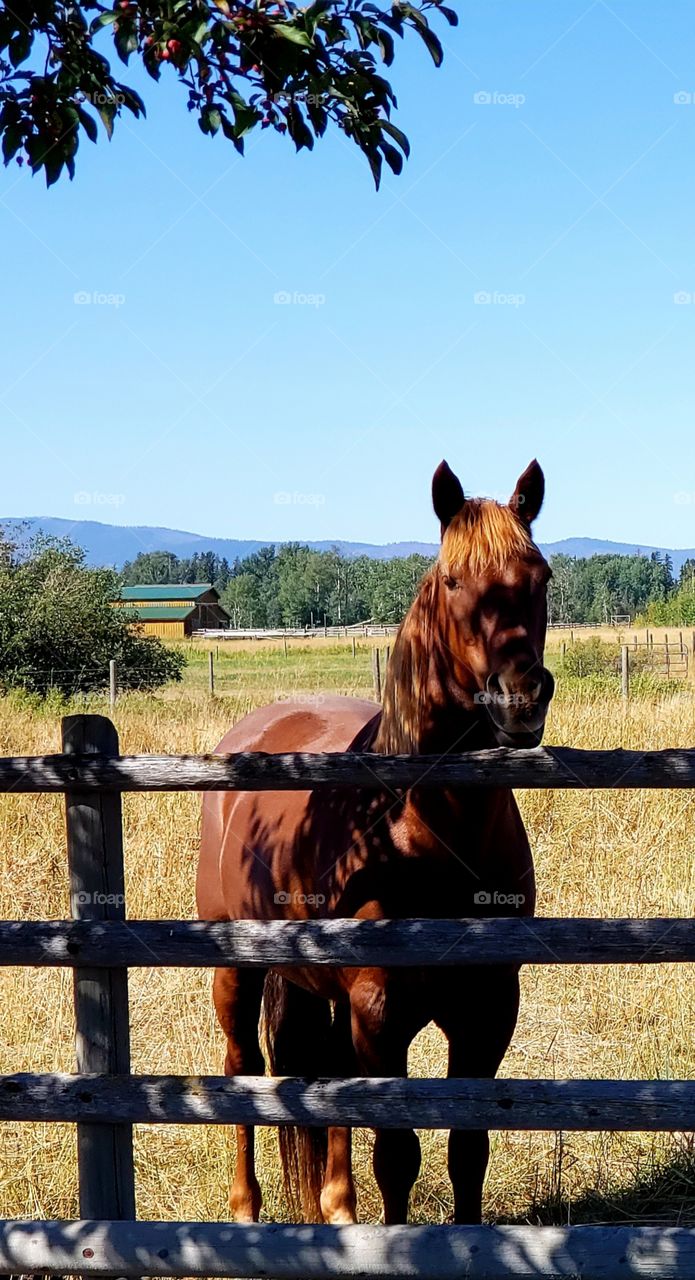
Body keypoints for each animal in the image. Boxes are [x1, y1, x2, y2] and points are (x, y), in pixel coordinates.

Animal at [196, 458, 555, 1227]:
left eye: (539, 574)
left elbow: (466, 1150)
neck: (425, 832)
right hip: (236, 969)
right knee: (241, 1068)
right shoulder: (380, 1013)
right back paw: (246, 1208)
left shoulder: (487, 1011)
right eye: (452, 580)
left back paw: (336, 1207)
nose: (520, 695)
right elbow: (397, 1154)